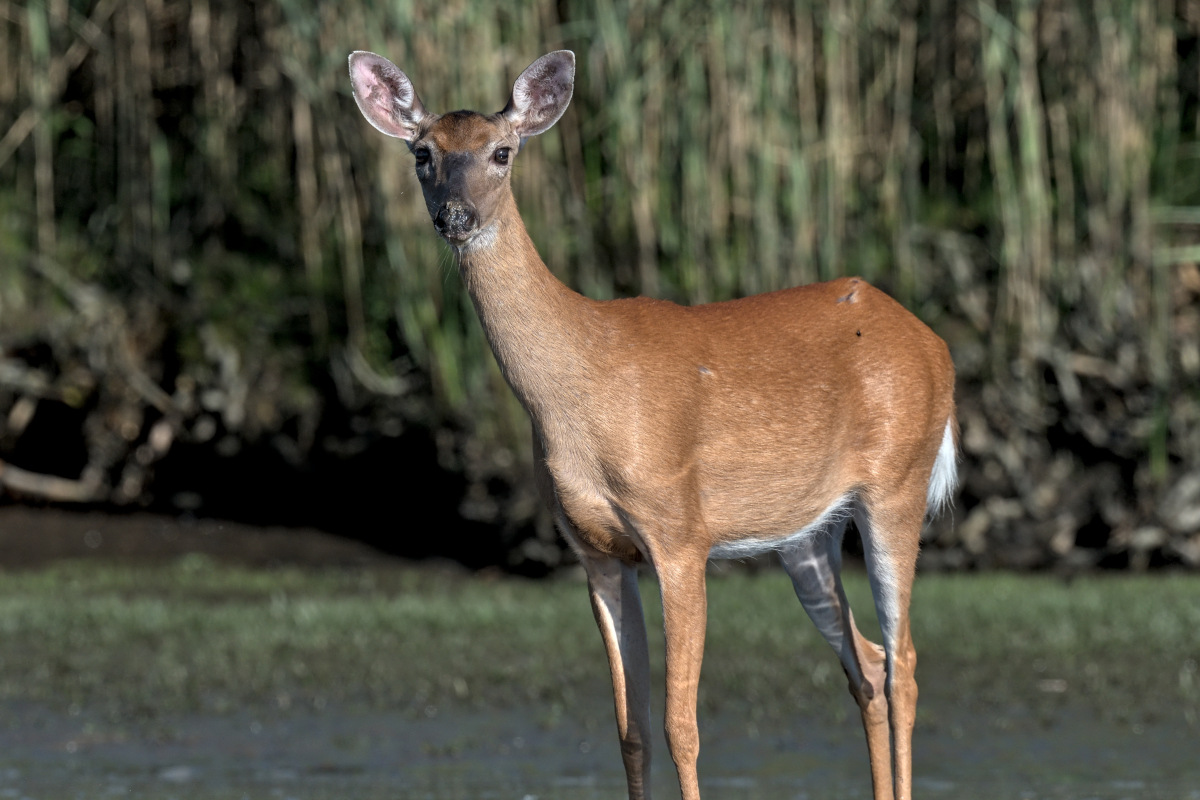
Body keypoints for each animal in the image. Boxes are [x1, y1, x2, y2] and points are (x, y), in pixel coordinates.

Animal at [348, 48, 955, 800]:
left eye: (502, 152)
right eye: (422, 153)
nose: (455, 216)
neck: (581, 389)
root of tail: (935, 344)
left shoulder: (680, 532)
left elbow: (681, 727)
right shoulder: (597, 553)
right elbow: (629, 730)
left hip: (898, 484)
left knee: (905, 664)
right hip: (805, 532)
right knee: (867, 663)